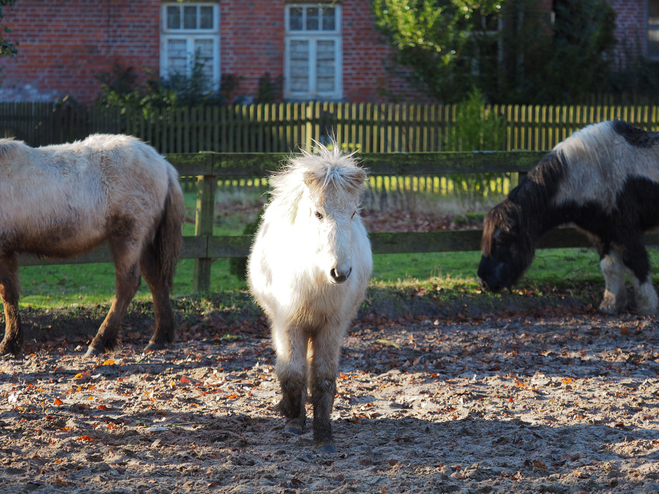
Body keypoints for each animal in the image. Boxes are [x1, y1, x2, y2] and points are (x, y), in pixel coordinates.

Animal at [0, 134, 186, 356]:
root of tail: (163, 163)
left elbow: (7, 295)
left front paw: (9, 344)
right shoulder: (7, 250)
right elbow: (10, 295)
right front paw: (12, 343)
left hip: (128, 236)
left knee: (127, 285)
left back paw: (99, 342)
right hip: (145, 241)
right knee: (156, 281)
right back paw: (159, 338)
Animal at [246, 142, 372, 452]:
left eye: (353, 213)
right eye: (318, 214)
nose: (340, 272)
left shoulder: (331, 328)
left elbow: (324, 378)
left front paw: (323, 433)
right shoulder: (288, 323)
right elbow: (292, 372)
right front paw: (293, 418)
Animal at [480, 118, 659, 312]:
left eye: (500, 240)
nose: (483, 282)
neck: (591, 172)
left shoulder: (627, 234)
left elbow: (637, 266)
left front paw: (648, 307)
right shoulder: (603, 235)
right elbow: (610, 268)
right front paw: (610, 306)